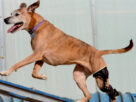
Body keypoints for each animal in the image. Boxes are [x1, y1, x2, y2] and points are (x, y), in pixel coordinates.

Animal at [0, 0, 133, 101]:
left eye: (17, 14)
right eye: (11, 13)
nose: (5, 19)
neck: (37, 26)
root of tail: (98, 52)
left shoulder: (36, 54)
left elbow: (18, 63)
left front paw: (5, 72)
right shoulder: (40, 58)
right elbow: (33, 73)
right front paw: (42, 77)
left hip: (100, 77)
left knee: (112, 91)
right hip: (79, 75)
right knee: (92, 94)